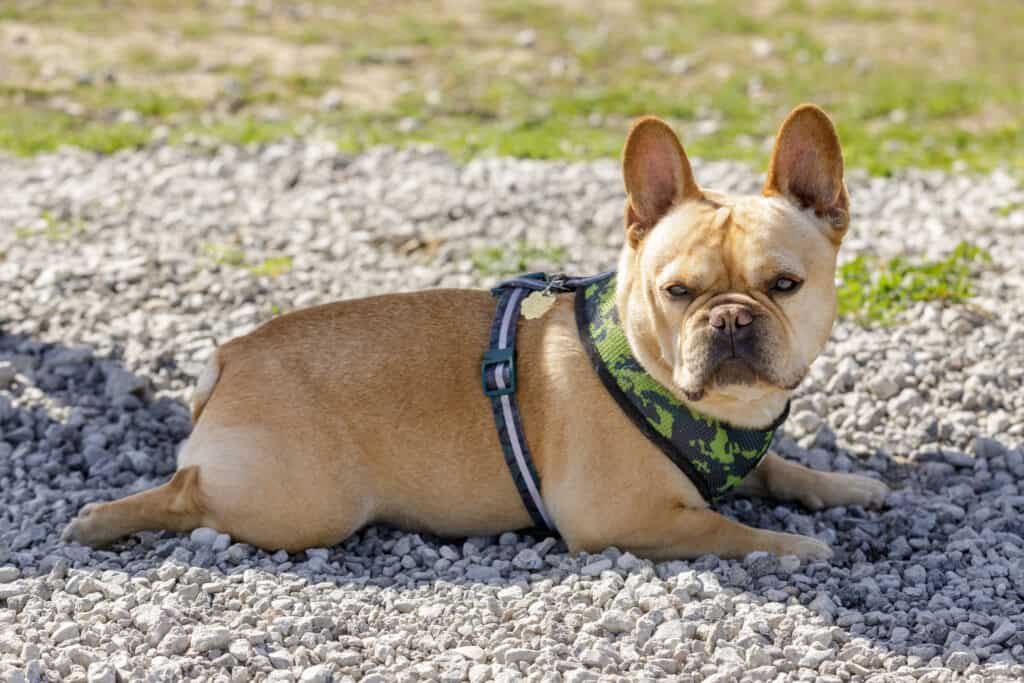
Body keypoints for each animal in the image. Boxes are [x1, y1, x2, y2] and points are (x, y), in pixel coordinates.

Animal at [66, 102, 888, 561]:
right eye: (678, 292)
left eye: (784, 285)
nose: (730, 317)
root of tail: (230, 358)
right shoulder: (626, 518)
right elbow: (725, 530)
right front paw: (794, 545)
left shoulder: (743, 450)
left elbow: (782, 469)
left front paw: (846, 484)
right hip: (305, 503)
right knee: (186, 493)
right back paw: (102, 520)